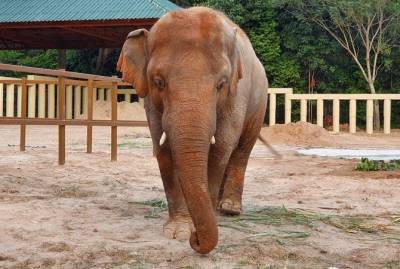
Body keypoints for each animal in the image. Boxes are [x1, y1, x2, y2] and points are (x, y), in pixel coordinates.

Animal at [118, 6, 268, 253]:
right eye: (158, 81)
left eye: (221, 84)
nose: (195, 239)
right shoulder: (151, 102)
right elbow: (163, 150)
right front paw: (179, 231)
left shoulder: (237, 93)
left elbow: (221, 147)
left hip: (259, 102)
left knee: (241, 150)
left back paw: (229, 208)